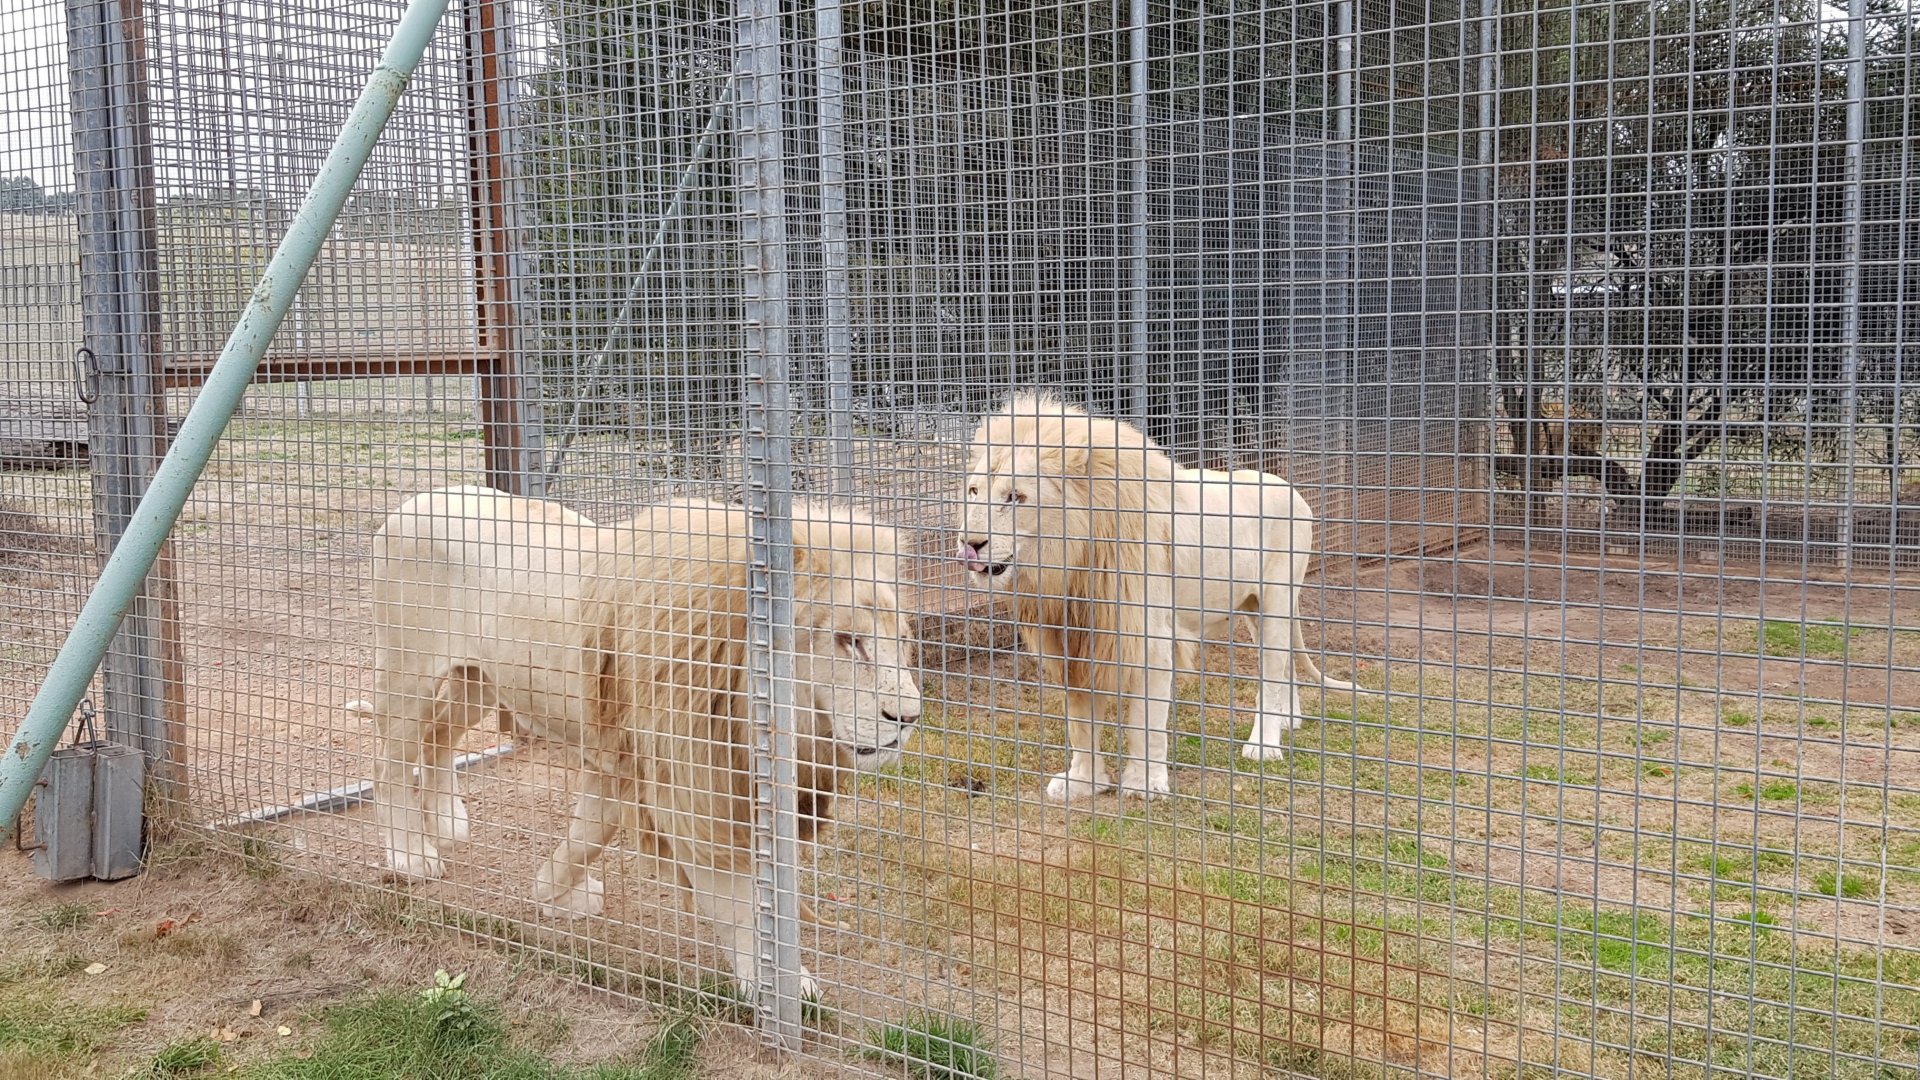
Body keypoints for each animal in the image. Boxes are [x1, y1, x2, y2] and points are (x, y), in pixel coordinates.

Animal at [356, 487, 921, 999]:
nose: (908, 718)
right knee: (389, 763)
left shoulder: (627, 762)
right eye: (848, 641)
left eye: (900, 639)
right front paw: (778, 984)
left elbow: (585, 836)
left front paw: (556, 896)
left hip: (477, 680)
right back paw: (411, 855)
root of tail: (412, 502)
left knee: (440, 739)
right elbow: (736, 900)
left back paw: (447, 822)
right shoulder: (686, 785)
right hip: (409, 676)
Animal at [955, 391, 1371, 802]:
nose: (969, 543)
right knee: (1284, 666)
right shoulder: (1076, 639)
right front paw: (1084, 782)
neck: (1071, 563)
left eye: (1015, 497)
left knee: (1271, 672)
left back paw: (1264, 744)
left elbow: (1146, 723)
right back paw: (1290, 719)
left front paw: (1145, 783)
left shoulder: (1148, 639)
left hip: (1277, 600)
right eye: (974, 492)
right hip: (1251, 607)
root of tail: (1289, 487)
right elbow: (1081, 723)